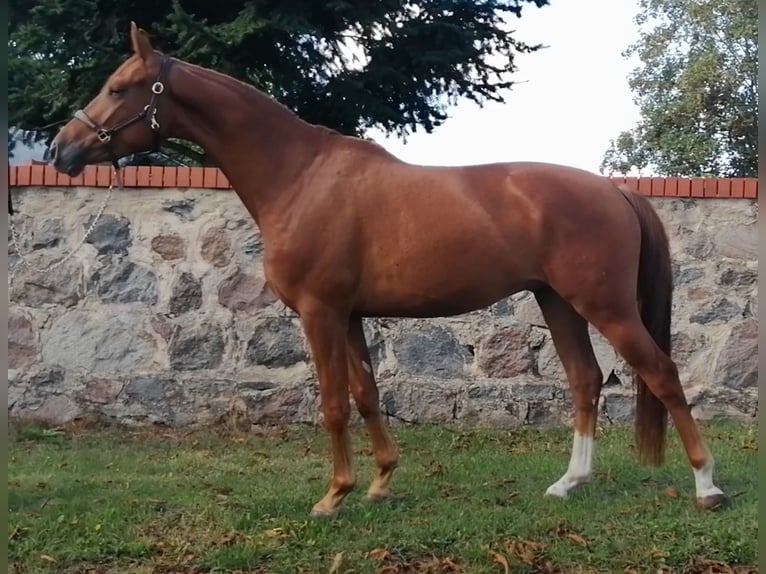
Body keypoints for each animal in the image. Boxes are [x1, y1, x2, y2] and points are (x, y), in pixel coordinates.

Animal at [48, 22, 728, 517]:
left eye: (119, 87)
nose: (61, 150)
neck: (300, 176)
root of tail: (615, 190)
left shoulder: (320, 313)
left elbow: (331, 402)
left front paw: (333, 496)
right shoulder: (349, 315)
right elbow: (366, 393)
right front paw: (379, 482)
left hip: (605, 306)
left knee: (663, 374)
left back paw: (707, 487)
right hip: (557, 301)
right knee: (586, 380)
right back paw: (570, 482)